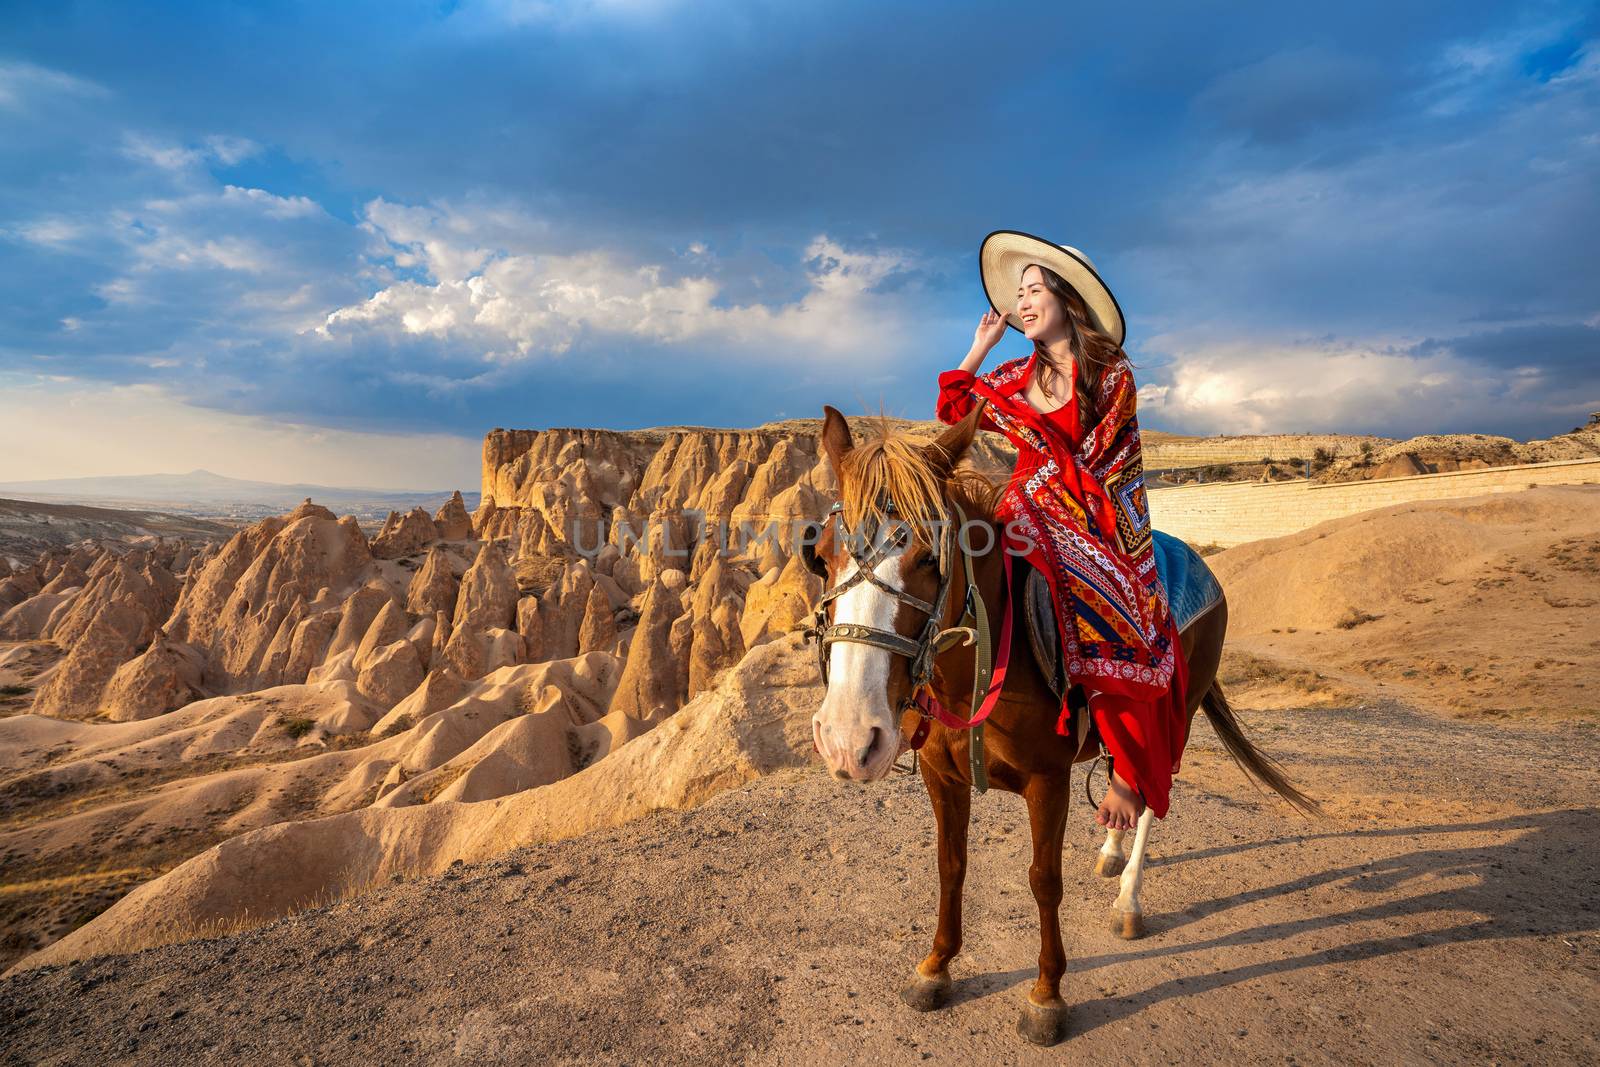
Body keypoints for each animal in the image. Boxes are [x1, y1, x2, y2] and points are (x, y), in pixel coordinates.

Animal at [806, 404, 1318, 1049]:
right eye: (822, 556)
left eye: (930, 557)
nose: (849, 738)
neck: (981, 666)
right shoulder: (940, 777)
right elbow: (951, 867)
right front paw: (935, 967)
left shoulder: (1048, 783)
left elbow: (1043, 880)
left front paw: (1046, 995)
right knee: (1129, 773)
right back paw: (1110, 850)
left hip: (1180, 711)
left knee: (1155, 795)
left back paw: (1129, 899)